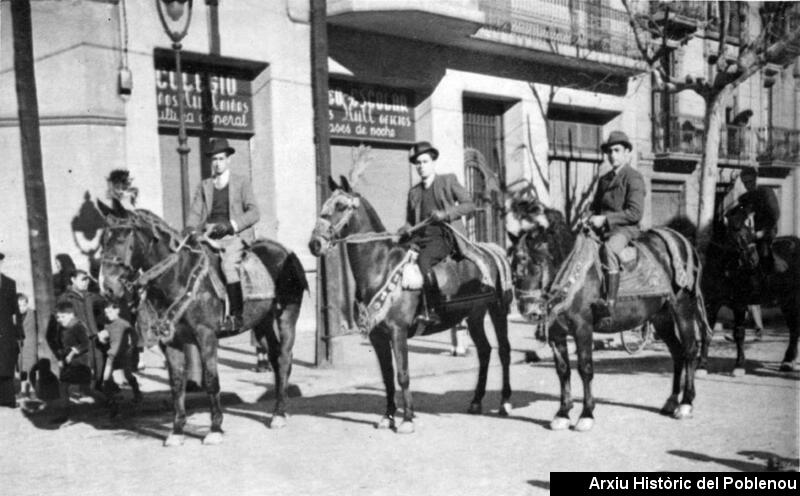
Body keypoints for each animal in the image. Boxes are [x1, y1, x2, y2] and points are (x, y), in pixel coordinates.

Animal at [94, 200, 306, 448]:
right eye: (103, 241)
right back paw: (278, 410)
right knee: (274, 356)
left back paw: (279, 414)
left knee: (284, 358)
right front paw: (177, 431)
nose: (107, 287)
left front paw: (215, 428)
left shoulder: (206, 336)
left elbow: (211, 380)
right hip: (261, 322)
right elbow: (176, 383)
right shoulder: (170, 340)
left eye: (122, 238)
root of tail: (283, 250)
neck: (178, 277)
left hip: (287, 315)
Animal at [306, 178, 512, 434]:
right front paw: (388, 417)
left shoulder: (398, 331)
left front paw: (407, 419)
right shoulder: (377, 335)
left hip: (498, 309)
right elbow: (387, 376)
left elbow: (402, 374)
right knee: (484, 351)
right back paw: (476, 401)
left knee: (504, 351)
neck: (380, 266)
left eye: (341, 206)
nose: (315, 244)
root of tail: (493, 250)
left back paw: (505, 402)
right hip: (474, 315)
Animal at [510, 198, 708, 430]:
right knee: (677, 353)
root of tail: (683, 242)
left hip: (683, 309)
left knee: (689, 351)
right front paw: (563, 413)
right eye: (513, 269)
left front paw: (586, 414)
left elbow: (585, 368)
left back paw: (685, 404)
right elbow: (563, 370)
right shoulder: (557, 332)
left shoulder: (582, 328)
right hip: (661, 317)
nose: (529, 311)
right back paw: (671, 402)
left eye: (538, 264)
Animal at [704, 203, 796, 374]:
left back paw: (788, 362)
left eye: (751, 230)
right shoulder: (711, 303)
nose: (753, 259)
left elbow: (739, 333)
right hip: (786, 302)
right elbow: (707, 332)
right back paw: (788, 361)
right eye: (736, 230)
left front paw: (739, 366)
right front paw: (701, 366)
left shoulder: (739, 304)